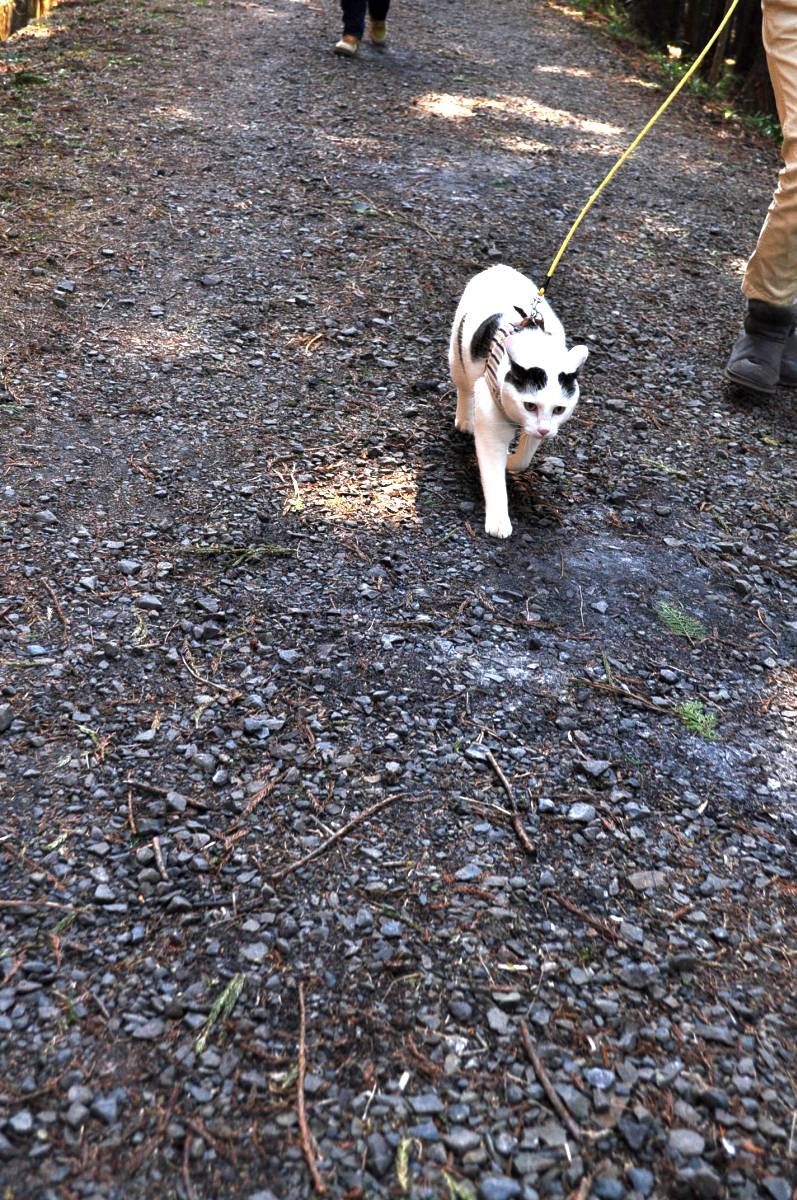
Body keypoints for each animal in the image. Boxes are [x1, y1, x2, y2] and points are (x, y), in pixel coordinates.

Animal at [451, 268, 588, 544]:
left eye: (559, 409)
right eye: (529, 405)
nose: (545, 430)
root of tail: (499, 267)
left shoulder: (538, 430)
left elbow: (524, 458)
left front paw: (510, 460)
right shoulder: (491, 430)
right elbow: (493, 476)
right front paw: (498, 521)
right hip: (457, 358)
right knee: (464, 388)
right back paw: (465, 419)